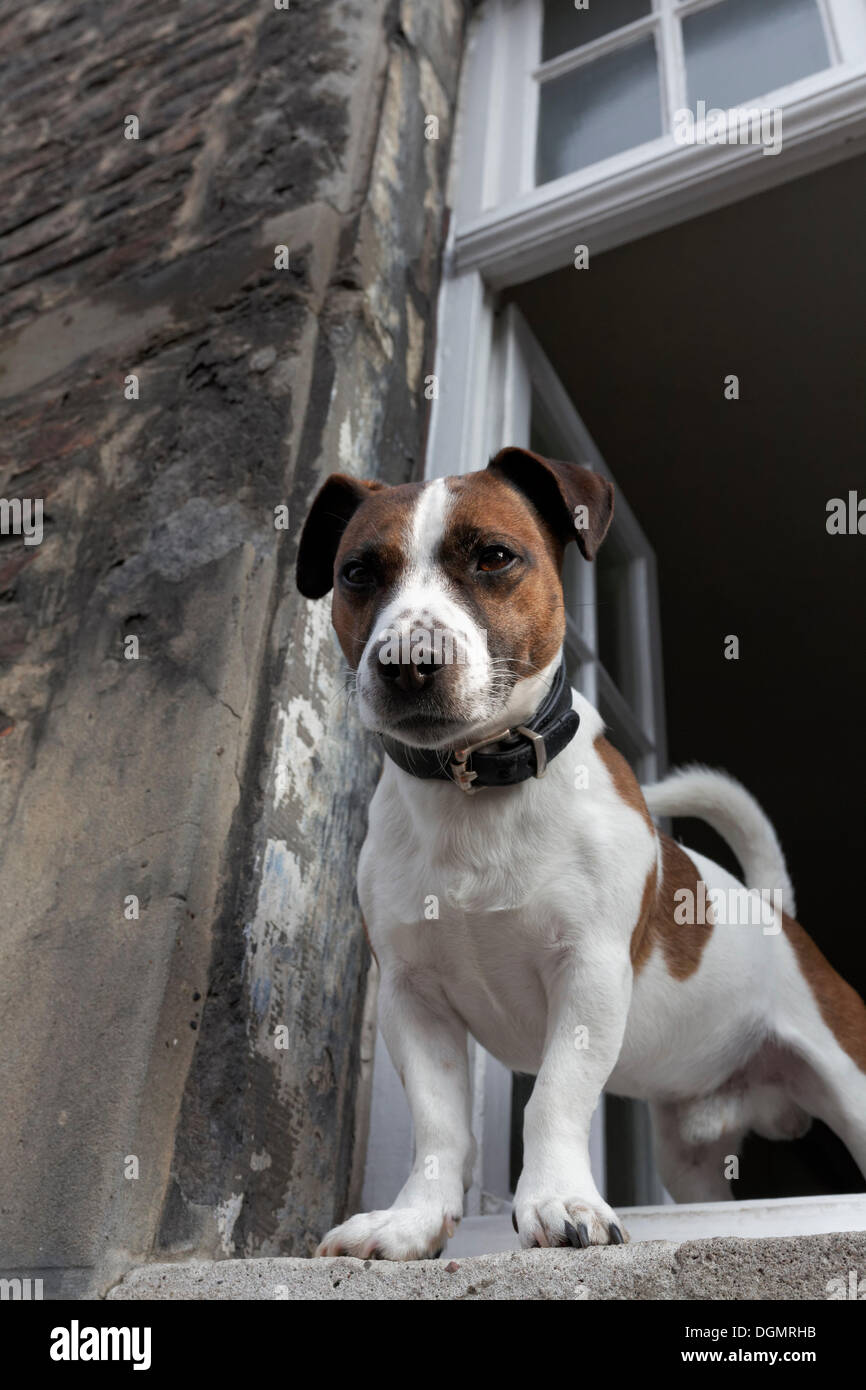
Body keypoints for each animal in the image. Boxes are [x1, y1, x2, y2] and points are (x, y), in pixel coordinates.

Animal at [296, 447, 866, 1262]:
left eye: (495, 557)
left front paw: (560, 1200)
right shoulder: (413, 998)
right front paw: (412, 1222)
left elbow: (555, 1097)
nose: (408, 659)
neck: (475, 788)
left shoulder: (587, 971)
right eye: (357, 574)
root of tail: (771, 909)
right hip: (689, 1160)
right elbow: (439, 1127)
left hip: (849, 1081)